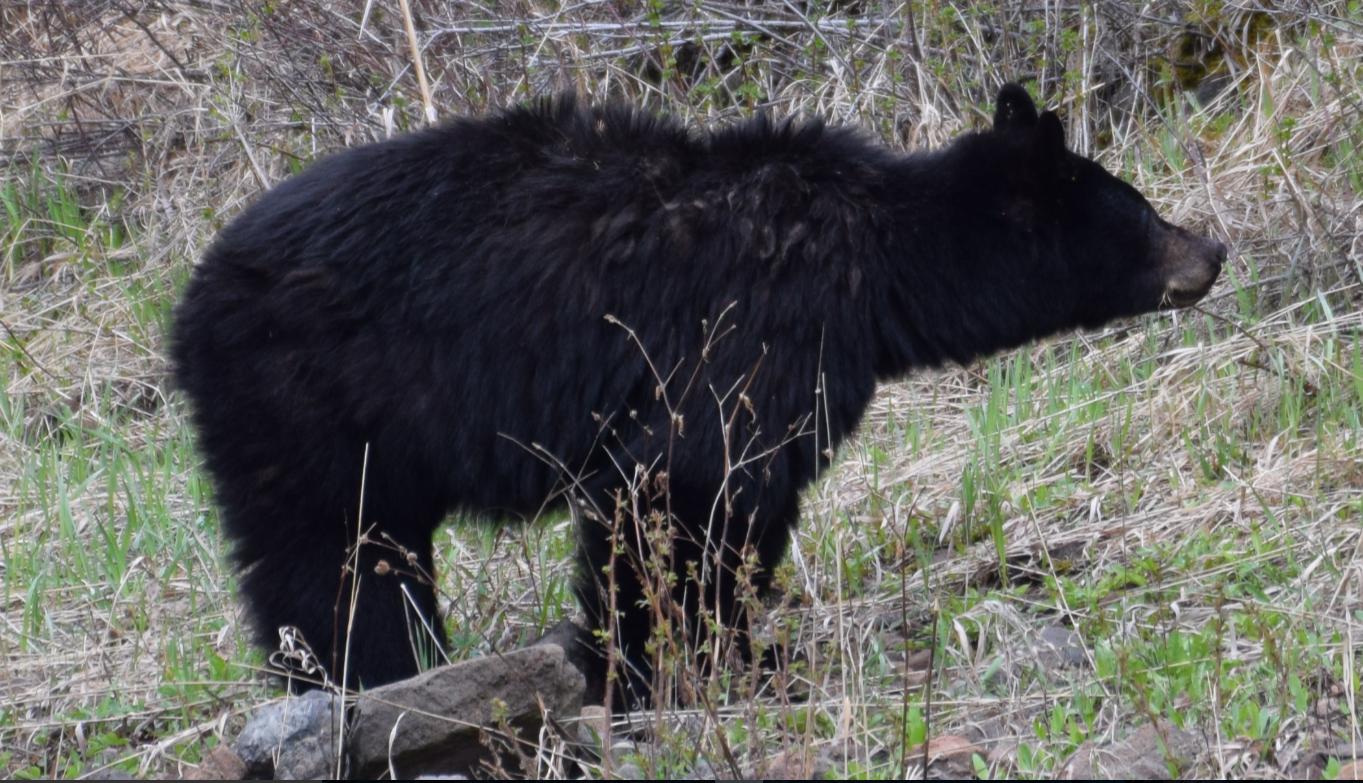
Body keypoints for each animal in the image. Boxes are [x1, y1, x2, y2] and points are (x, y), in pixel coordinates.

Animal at [171, 84, 1225, 703]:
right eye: (1138, 210)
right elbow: (679, 491)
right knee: (333, 550)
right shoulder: (747, 335)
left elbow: (744, 511)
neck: (875, 268)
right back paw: (371, 672)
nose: (1211, 249)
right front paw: (654, 669)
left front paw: (737, 650)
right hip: (309, 395)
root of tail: (191, 295)